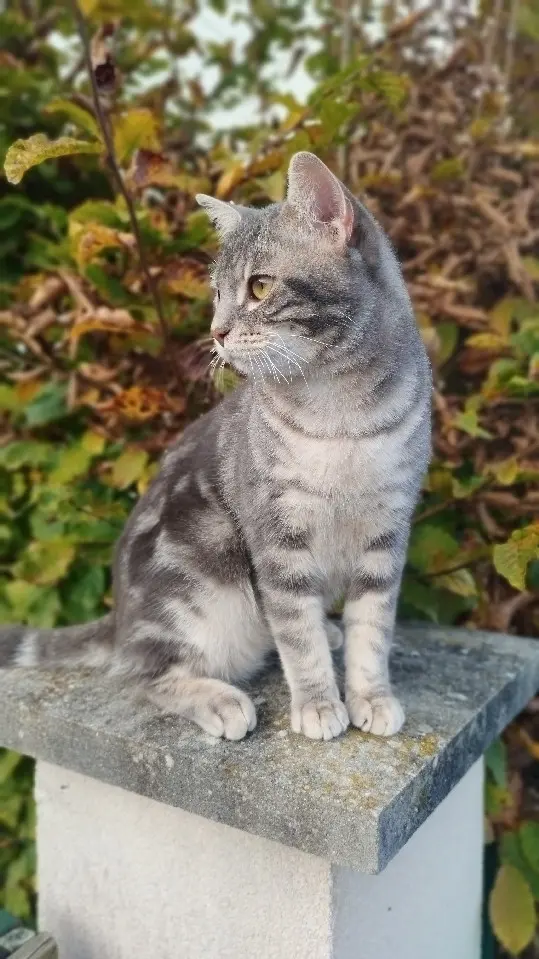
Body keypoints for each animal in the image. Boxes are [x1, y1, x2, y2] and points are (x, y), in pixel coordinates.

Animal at [0, 154, 432, 748]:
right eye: (218, 295)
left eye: (259, 286)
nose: (217, 331)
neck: (342, 415)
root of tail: (120, 619)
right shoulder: (276, 539)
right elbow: (297, 637)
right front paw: (319, 704)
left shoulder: (386, 533)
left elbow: (373, 627)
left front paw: (372, 697)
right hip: (202, 590)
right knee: (144, 674)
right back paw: (221, 699)